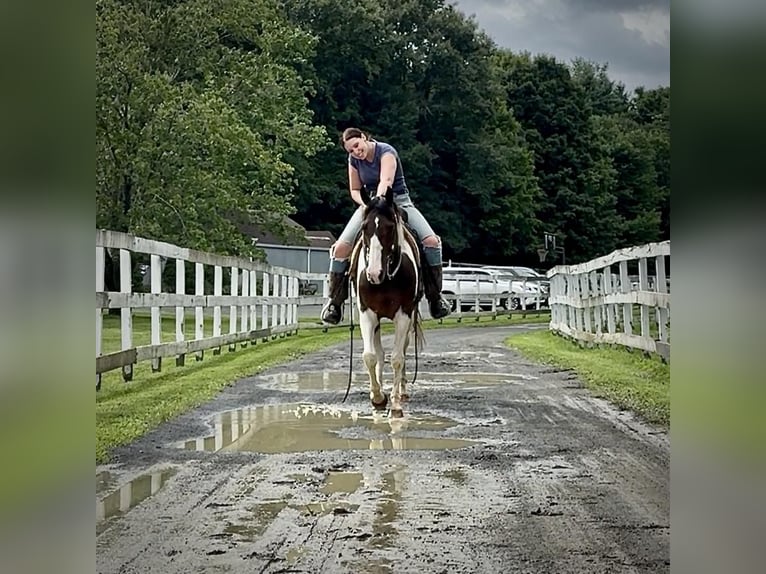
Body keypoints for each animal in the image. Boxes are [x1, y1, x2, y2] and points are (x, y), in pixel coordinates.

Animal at [350, 188, 424, 418]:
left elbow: (397, 358)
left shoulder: (403, 315)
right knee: (380, 353)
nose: (374, 273)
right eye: (364, 227)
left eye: (389, 227)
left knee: (404, 352)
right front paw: (377, 397)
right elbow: (370, 356)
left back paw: (402, 391)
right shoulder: (367, 314)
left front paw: (396, 403)